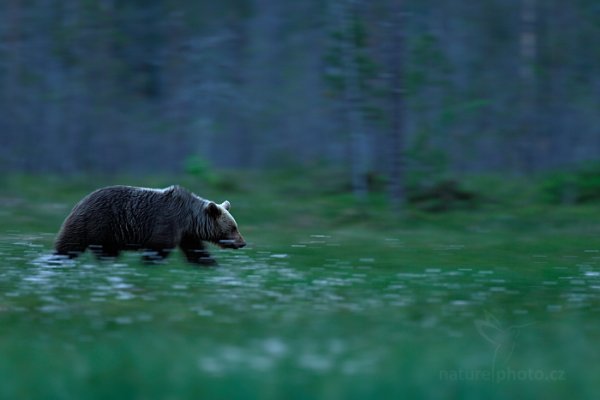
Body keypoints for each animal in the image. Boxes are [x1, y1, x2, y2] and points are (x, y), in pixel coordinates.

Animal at [54, 185, 245, 266]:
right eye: (233, 227)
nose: (242, 242)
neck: (189, 219)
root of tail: (80, 201)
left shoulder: (186, 234)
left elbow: (196, 250)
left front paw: (210, 263)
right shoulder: (168, 221)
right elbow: (158, 247)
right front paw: (149, 262)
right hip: (98, 223)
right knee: (73, 245)